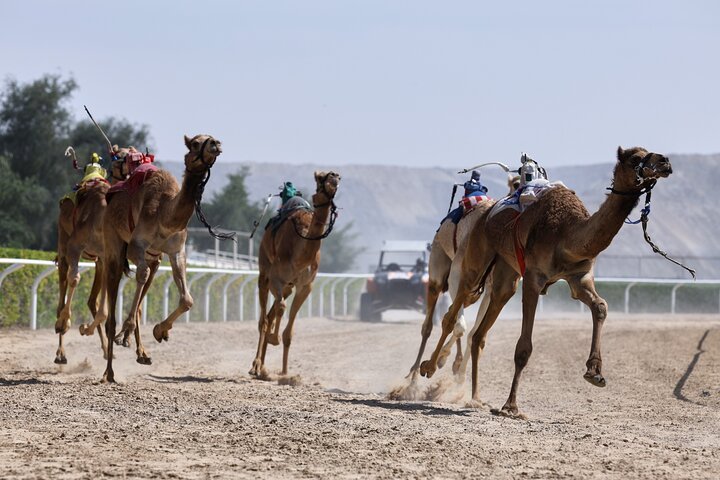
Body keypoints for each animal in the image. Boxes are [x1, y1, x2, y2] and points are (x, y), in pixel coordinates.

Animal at [101, 134, 223, 383]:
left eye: (211, 138)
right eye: (195, 143)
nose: (216, 143)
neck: (165, 216)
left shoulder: (176, 251)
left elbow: (187, 300)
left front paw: (160, 330)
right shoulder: (136, 245)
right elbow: (141, 275)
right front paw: (126, 332)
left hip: (154, 257)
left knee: (146, 281)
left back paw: (141, 353)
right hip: (113, 244)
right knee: (114, 298)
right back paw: (109, 371)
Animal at [249, 171, 341, 378]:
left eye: (337, 179)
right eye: (320, 178)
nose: (334, 176)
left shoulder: (305, 286)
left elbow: (289, 333)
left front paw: (285, 373)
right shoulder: (276, 278)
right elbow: (280, 309)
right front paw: (273, 339)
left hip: (288, 287)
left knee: (271, 313)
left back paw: (264, 367)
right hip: (264, 272)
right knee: (264, 318)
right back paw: (256, 365)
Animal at [418, 147, 673, 417]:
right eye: (635, 158)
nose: (665, 162)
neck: (568, 235)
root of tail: (486, 212)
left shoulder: (579, 278)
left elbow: (600, 306)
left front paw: (594, 371)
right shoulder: (533, 278)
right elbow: (524, 347)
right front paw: (511, 406)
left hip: (505, 274)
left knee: (479, 332)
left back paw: (474, 397)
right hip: (476, 258)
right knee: (452, 311)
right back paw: (428, 367)